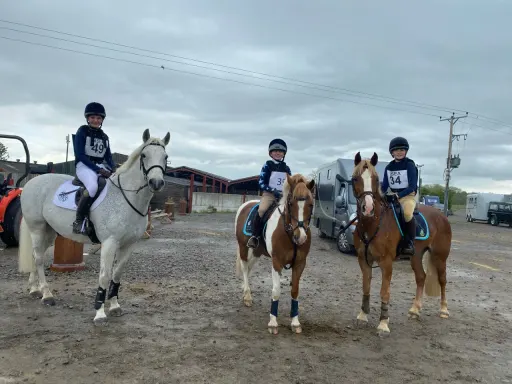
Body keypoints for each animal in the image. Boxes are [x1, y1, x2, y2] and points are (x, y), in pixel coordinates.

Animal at [18, 128, 170, 324]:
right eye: (144, 155)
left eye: (165, 157)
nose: (156, 183)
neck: (126, 198)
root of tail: (30, 183)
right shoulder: (109, 243)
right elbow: (104, 276)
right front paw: (100, 313)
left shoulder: (129, 245)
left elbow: (117, 274)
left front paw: (114, 306)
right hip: (37, 228)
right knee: (38, 258)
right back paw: (46, 294)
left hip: (50, 231)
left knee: (35, 255)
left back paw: (34, 289)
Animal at [234, 172, 314, 334]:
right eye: (291, 204)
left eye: (310, 205)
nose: (301, 237)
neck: (288, 233)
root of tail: (245, 204)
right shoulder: (277, 262)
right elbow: (276, 291)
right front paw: (273, 323)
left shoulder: (300, 263)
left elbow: (295, 291)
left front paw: (295, 322)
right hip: (243, 248)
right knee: (245, 268)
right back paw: (247, 296)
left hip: (257, 251)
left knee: (249, 268)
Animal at [350, 152, 450, 334]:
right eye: (355, 178)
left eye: (376, 179)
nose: (368, 208)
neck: (373, 223)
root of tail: (442, 216)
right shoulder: (364, 260)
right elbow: (366, 287)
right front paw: (363, 316)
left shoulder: (386, 262)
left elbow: (385, 292)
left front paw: (383, 323)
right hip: (416, 255)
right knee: (421, 277)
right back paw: (415, 310)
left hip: (440, 256)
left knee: (442, 280)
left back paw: (444, 310)